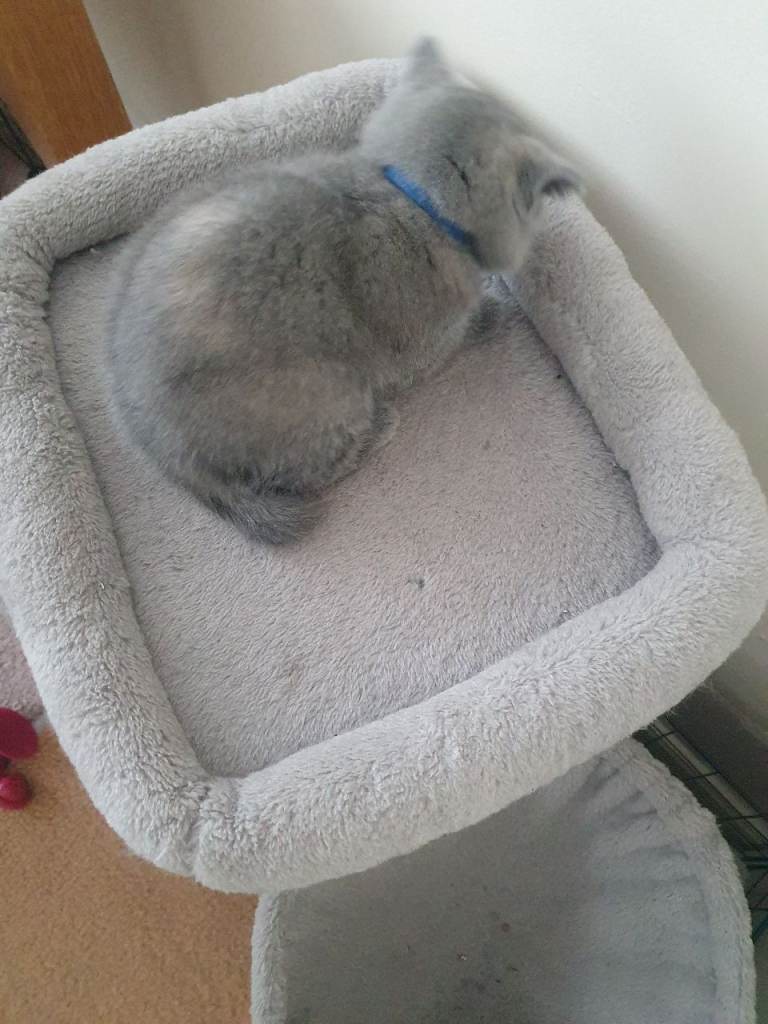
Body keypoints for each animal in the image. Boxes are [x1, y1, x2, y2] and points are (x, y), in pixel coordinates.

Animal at [105, 39, 579, 544]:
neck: (408, 195)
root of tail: (168, 456)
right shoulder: (422, 343)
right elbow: (457, 335)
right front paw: (492, 310)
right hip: (328, 392)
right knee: (306, 470)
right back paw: (379, 427)